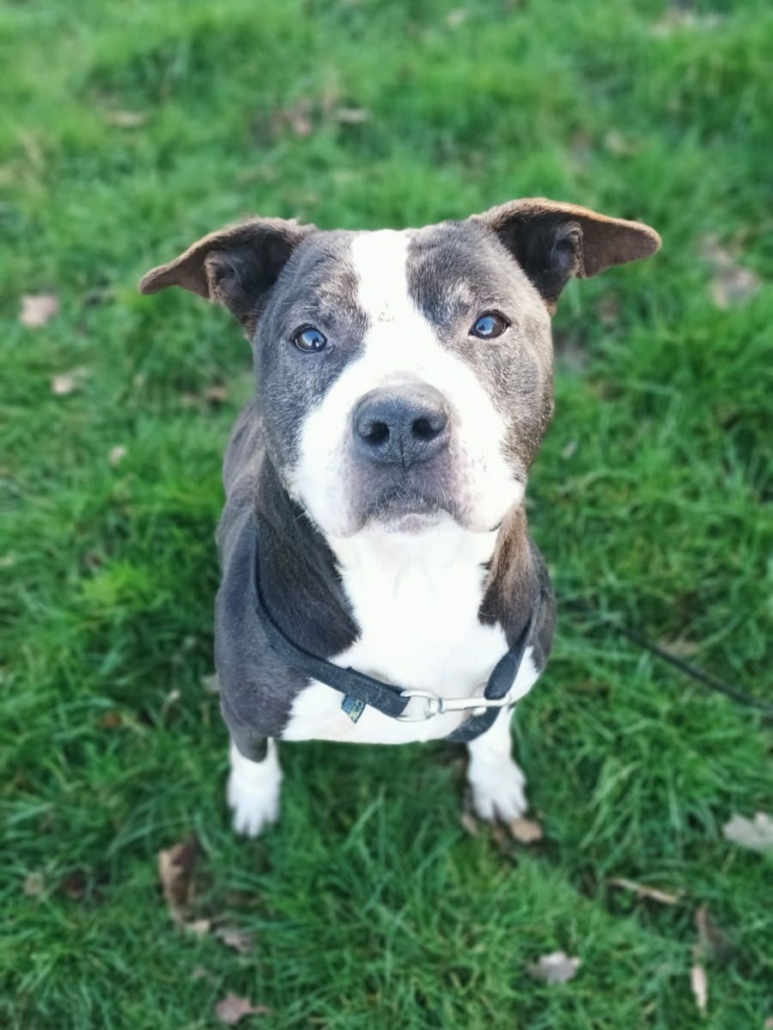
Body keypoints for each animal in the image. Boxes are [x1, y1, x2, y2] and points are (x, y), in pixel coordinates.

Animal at [139, 198, 659, 836]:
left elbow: (492, 736)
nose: (400, 421)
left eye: (488, 324)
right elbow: (252, 755)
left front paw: (495, 782)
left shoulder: (502, 688)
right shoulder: (244, 710)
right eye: (310, 337)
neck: (412, 573)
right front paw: (254, 804)